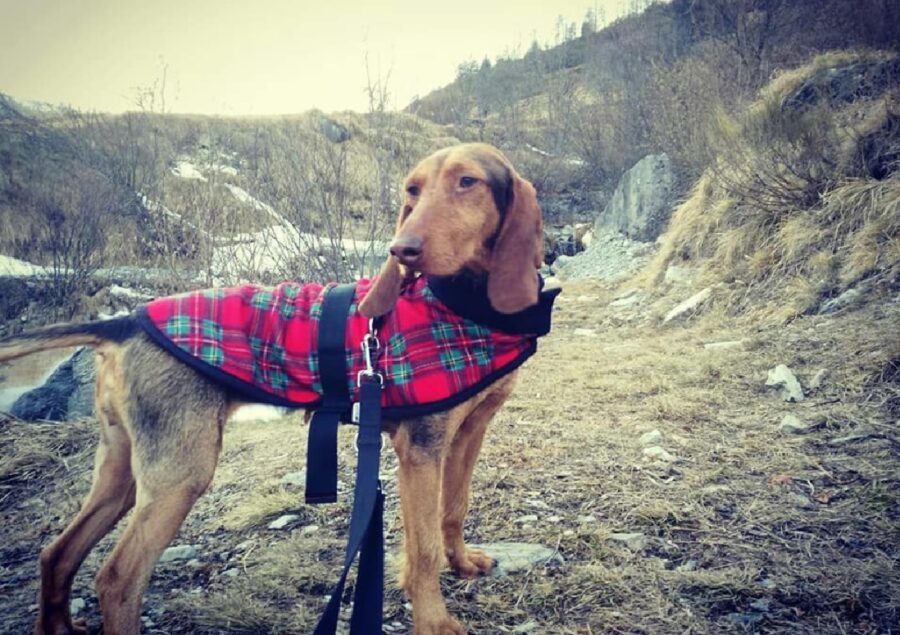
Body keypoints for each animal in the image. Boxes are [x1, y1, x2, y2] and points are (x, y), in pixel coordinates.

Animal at [0, 144, 544, 635]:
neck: (464, 304)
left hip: (123, 468)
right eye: (412, 190)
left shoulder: (468, 433)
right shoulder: (420, 450)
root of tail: (126, 320)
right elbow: (423, 549)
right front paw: (434, 622)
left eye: (467, 182)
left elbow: (455, 507)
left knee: (56, 554)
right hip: (181, 473)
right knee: (116, 579)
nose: (401, 250)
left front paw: (463, 563)